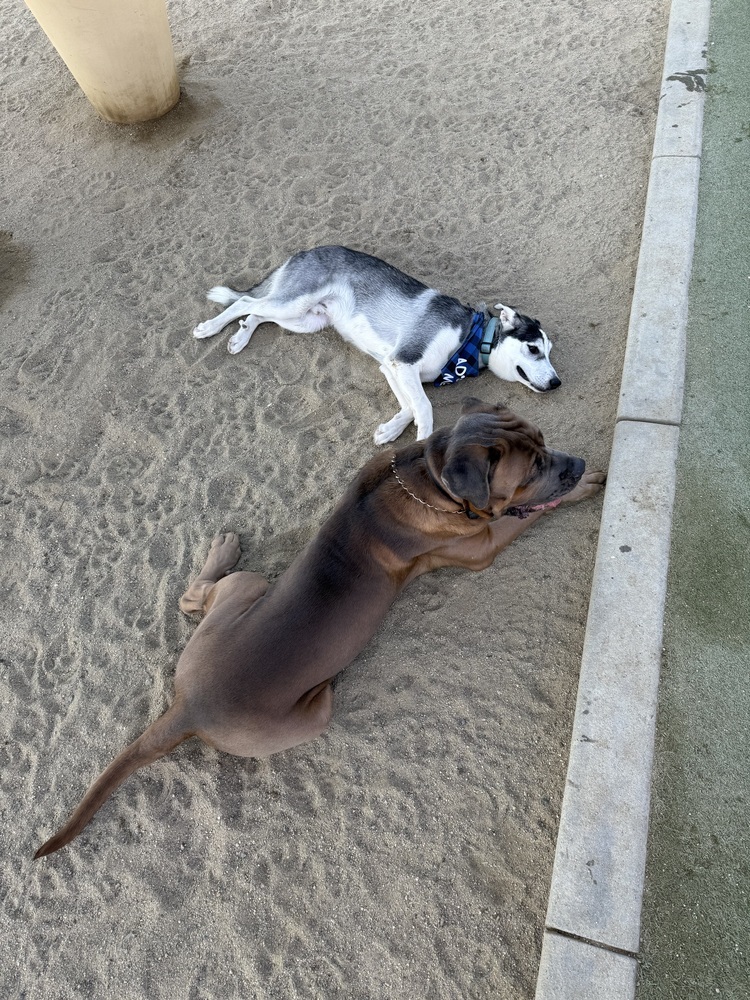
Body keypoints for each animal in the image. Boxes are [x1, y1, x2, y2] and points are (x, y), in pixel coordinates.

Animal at [36, 400, 604, 860]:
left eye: (544, 442)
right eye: (533, 469)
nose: (574, 465)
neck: (428, 475)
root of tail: (186, 709)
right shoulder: (482, 545)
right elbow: (524, 516)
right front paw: (585, 485)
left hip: (244, 587)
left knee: (193, 597)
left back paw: (221, 551)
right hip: (310, 711)